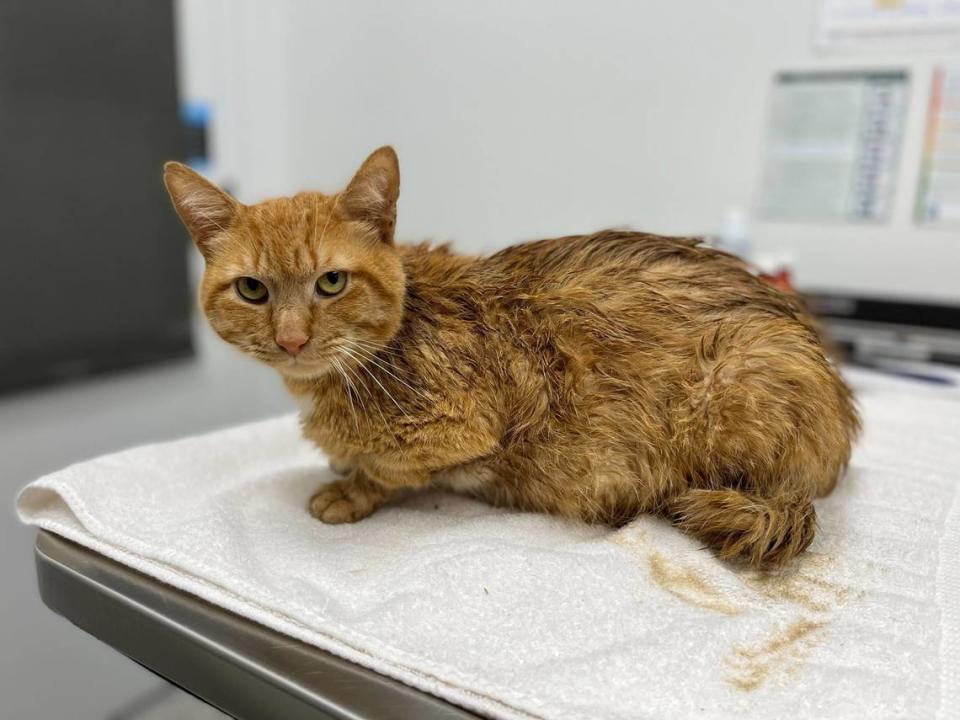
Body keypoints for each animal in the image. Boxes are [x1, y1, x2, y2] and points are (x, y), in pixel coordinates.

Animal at [161, 149, 860, 568]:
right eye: (253, 290)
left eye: (331, 283)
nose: (291, 340)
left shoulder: (467, 427)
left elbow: (388, 467)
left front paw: (348, 488)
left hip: (737, 373)